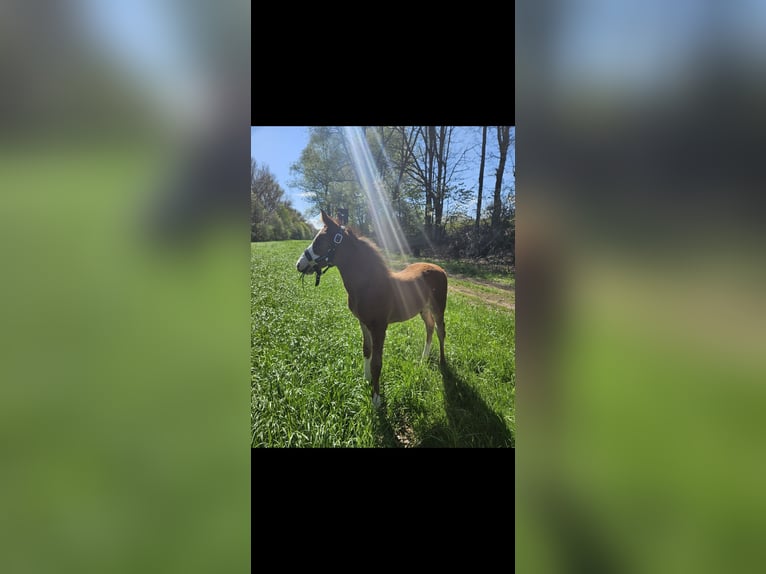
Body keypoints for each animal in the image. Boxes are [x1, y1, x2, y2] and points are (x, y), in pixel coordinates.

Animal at [296, 209, 447, 409]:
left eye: (320, 242)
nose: (299, 264)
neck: (368, 285)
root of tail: (440, 268)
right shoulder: (363, 322)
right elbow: (366, 350)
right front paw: (366, 379)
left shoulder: (379, 327)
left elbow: (377, 362)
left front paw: (376, 398)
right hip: (423, 309)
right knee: (429, 328)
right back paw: (423, 358)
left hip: (438, 308)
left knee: (440, 330)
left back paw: (442, 363)